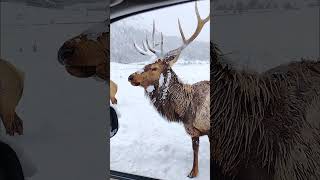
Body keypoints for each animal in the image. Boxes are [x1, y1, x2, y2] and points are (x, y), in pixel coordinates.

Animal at [127, 2, 210, 178]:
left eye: (154, 68)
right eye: (145, 64)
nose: (130, 77)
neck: (184, 110)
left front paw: (193, 173)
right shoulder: (195, 131)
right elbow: (196, 150)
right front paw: (193, 172)